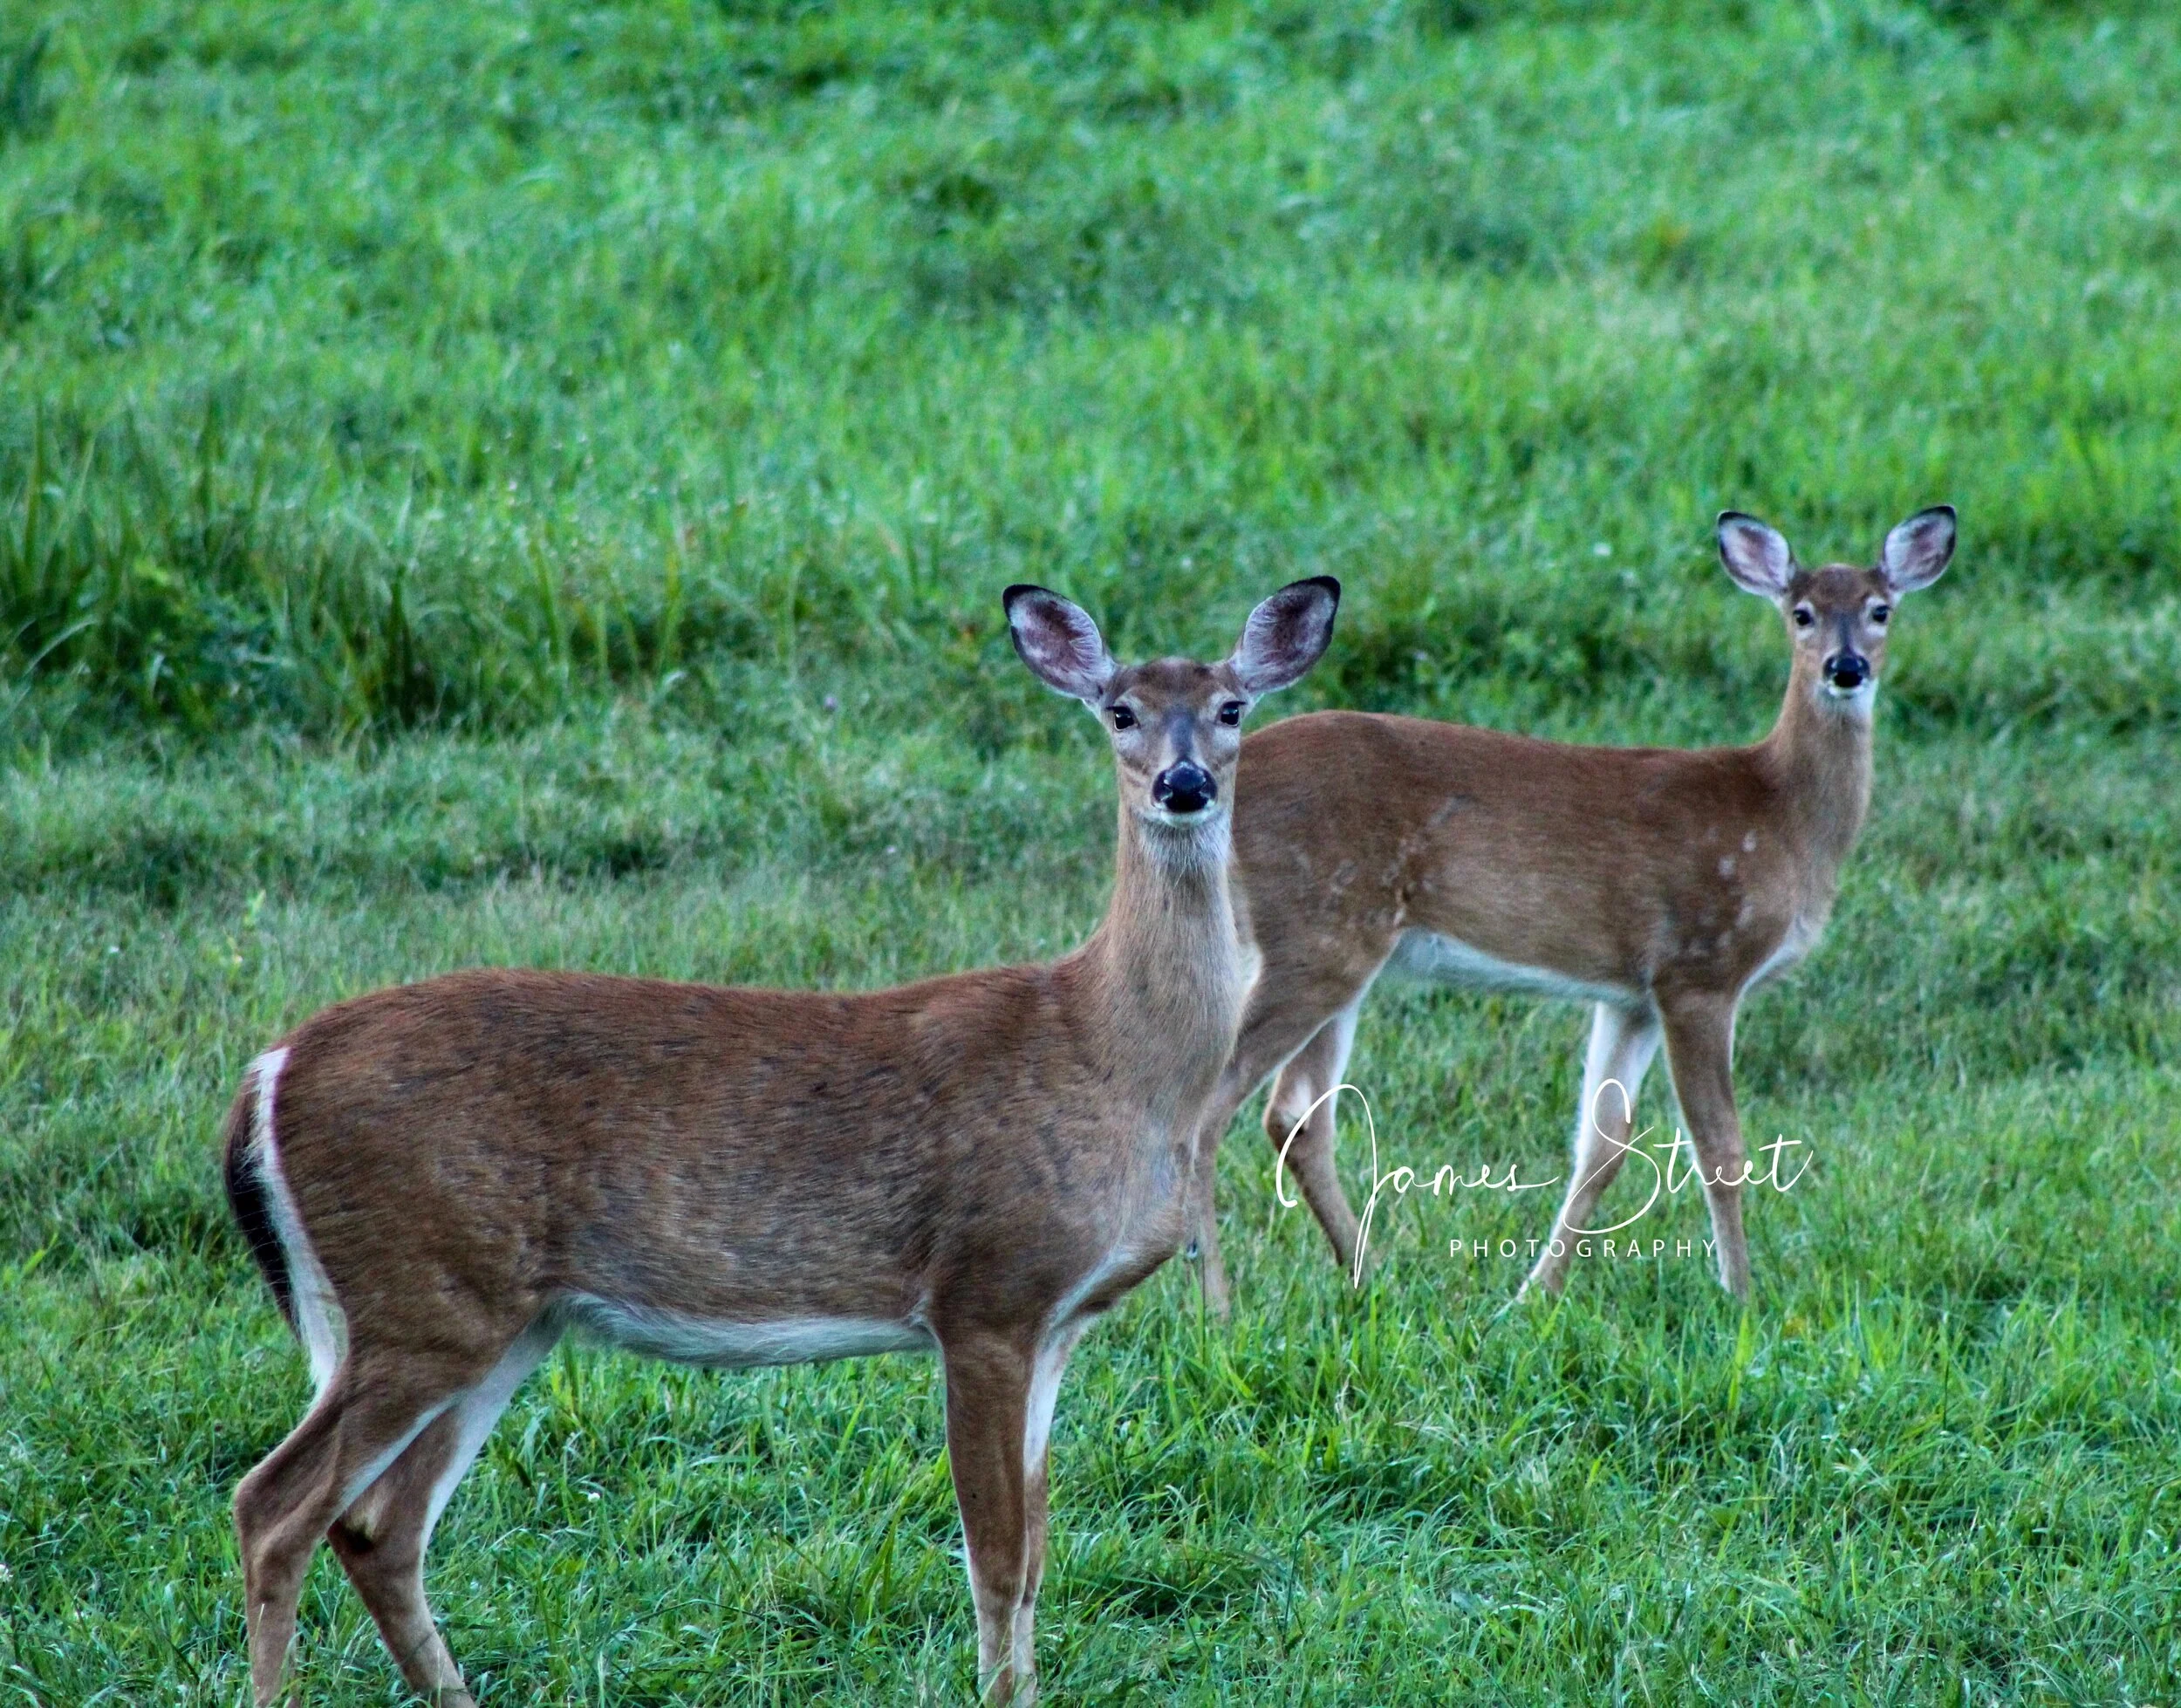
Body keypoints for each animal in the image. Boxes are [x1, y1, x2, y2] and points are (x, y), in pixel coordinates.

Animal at [218, 575, 1339, 1708]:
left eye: (1231, 707)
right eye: (1118, 711)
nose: (1183, 782)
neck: (1109, 1054)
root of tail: (271, 1069)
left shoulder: (1058, 1320)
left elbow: (1035, 1553)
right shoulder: (983, 1291)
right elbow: (996, 1553)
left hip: (499, 1311)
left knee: (379, 1524)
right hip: (419, 1291)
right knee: (276, 1504)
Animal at [1186, 508, 1955, 1313]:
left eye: (1880, 609)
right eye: (1801, 613)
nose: (1847, 668)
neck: (1781, 815)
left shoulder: (1632, 997)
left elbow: (1603, 1143)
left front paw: (1531, 1295)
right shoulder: (1701, 968)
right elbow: (1720, 1147)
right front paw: (1743, 1295)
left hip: (1337, 948)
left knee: (1297, 1115)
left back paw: (1374, 1276)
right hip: (1315, 937)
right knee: (1213, 1111)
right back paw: (1218, 1304)